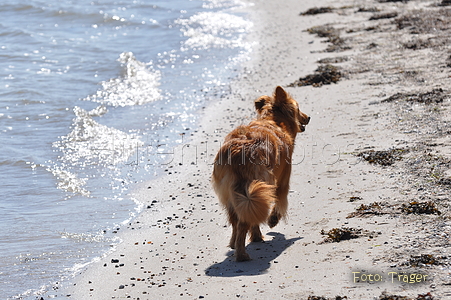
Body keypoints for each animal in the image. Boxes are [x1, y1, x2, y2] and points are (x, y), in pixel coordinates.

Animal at [212, 86, 310, 260]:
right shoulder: (283, 178)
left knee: (237, 219)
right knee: (243, 222)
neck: (274, 121)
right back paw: (242, 255)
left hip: (235, 194)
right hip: (260, 184)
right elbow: (280, 199)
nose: (308, 117)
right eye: (299, 109)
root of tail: (237, 153)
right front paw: (273, 220)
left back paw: (236, 243)